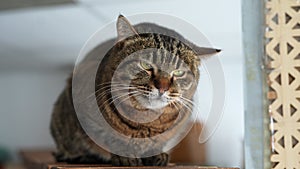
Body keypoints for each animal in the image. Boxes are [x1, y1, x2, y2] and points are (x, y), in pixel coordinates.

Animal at [49, 14, 220, 166]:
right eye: (146, 65)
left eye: (178, 73)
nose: (162, 87)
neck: (146, 122)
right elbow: (109, 138)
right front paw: (124, 155)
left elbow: (157, 144)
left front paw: (156, 155)